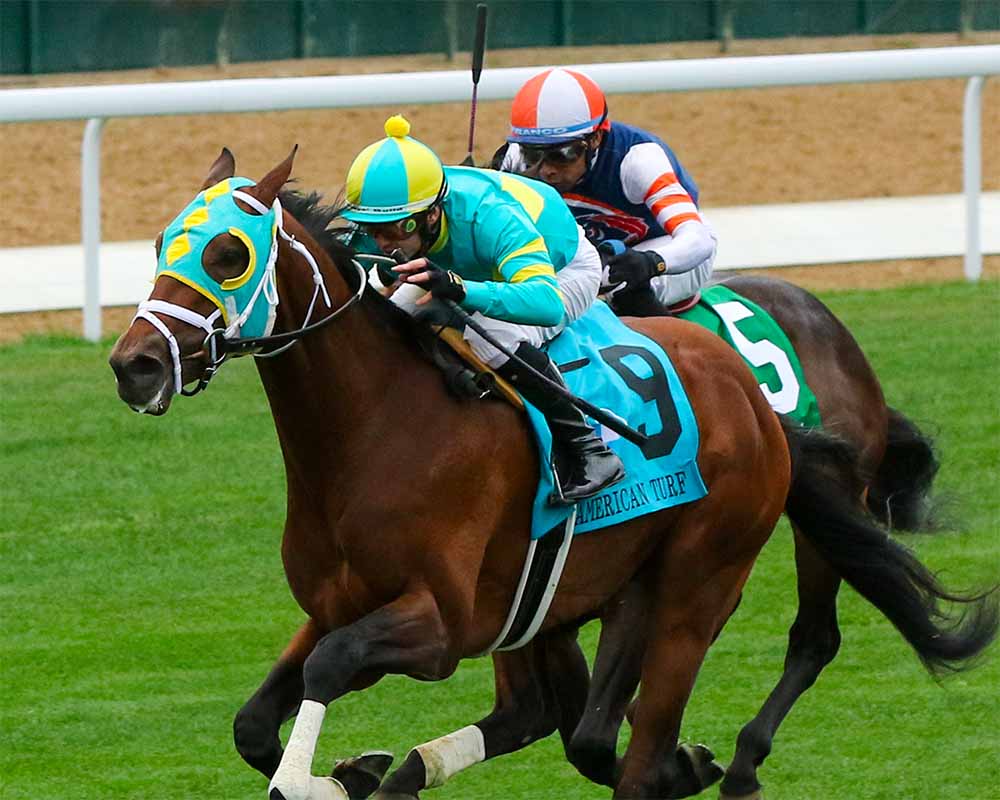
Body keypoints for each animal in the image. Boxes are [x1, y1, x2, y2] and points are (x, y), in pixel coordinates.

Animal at [109, 147, 800, 796]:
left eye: (230, 254)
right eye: (160, 244)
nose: (134, 365)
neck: (372, 428)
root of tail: (746, 387)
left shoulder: (439, 624)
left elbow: (328, 665)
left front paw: (326, 778)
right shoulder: (338, 604)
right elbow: (253, 723)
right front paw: (351, 774)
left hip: (694, 591)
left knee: (638, 744)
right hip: (580, 598)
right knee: (565, 723)